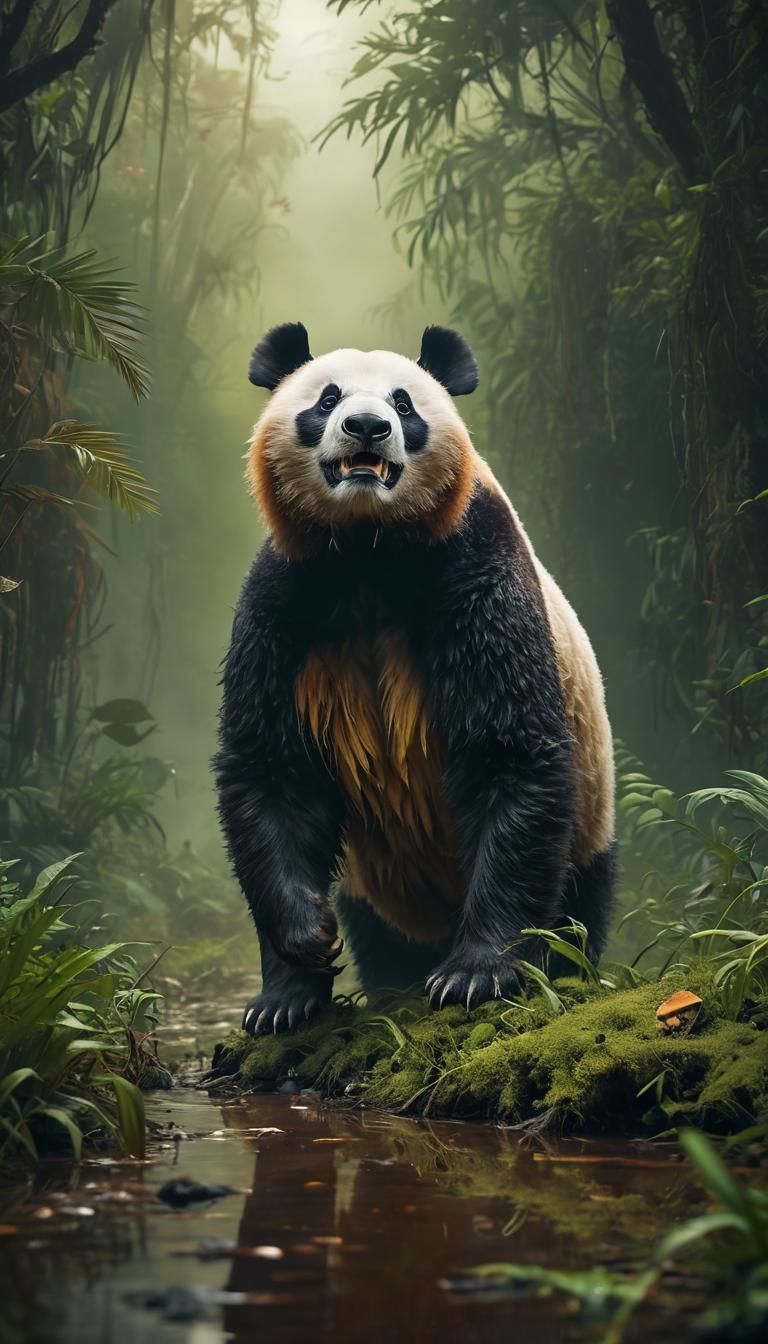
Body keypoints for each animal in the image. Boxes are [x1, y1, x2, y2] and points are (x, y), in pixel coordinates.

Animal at [214, 322, 615, 1036]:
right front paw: (300, 957)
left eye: (404, 405)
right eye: (327, 399)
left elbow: (508, 747)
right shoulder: (285, 596)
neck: (369, 545)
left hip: (589, 829)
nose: (367, 427)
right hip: (373, 886)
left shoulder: (471, 561)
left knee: (575, 906)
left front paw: (475, 975)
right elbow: (270, 768)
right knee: (377, 932)